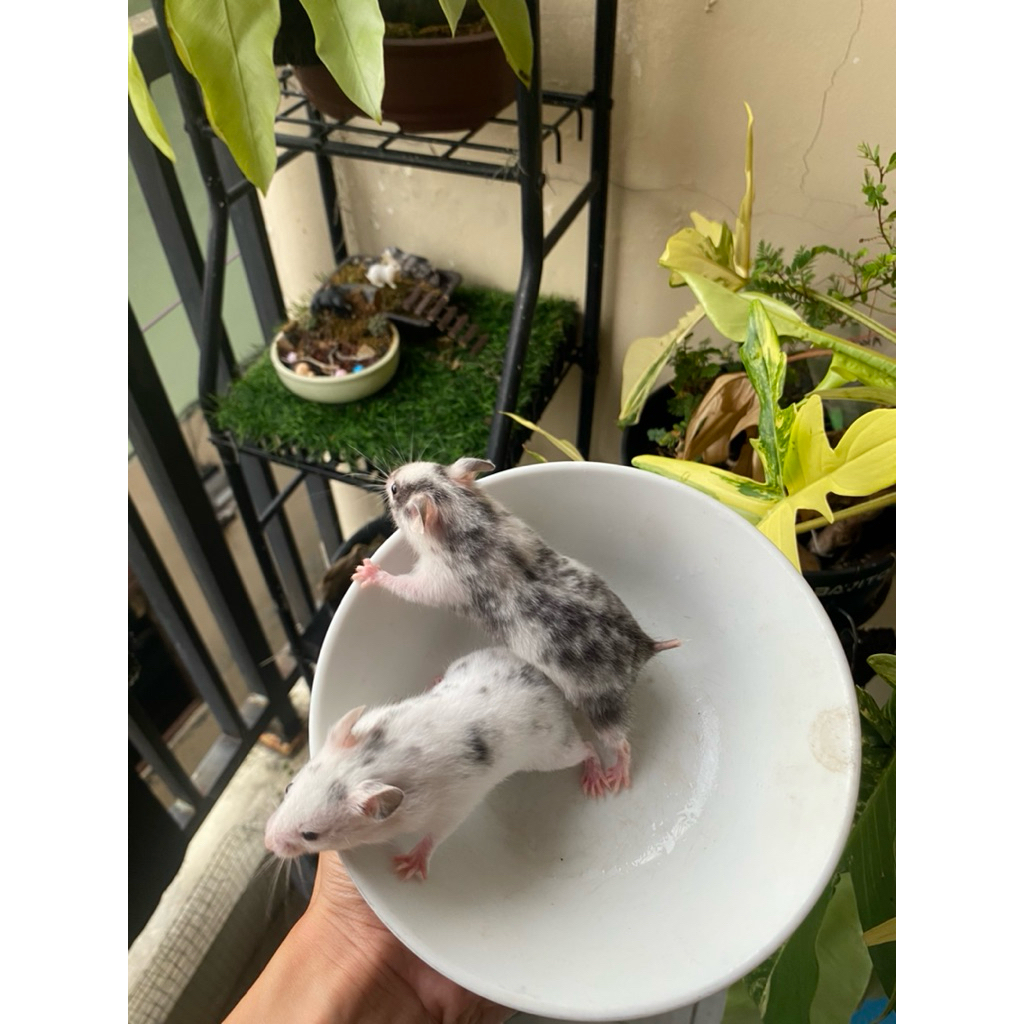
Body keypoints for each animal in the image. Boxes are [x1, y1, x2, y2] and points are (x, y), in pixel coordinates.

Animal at [264, 647, 603, 880]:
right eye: (288, 788)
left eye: (310, 835)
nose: (267, 843)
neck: (378, 761)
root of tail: (548, 682)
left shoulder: (450, 810)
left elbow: (433, 838)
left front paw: (407, 870)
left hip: (553, 752)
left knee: (588, 749)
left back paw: (599, 781)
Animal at [351, 457, 680, 795]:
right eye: (431, 465)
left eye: (394, 490)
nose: (389, 475)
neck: (472, 521)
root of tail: (643, 648)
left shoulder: (436, 580)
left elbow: (406, 586)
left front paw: (366, 571)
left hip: (602, 706)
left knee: (621, 743)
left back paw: (614, 775)